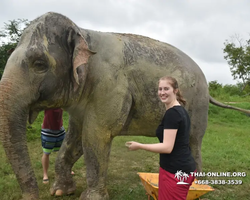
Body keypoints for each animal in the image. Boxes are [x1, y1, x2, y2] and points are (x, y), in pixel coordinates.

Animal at [0, 11, 250, 199]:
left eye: (39, 64)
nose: (32, 196)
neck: (84, 33)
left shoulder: (109, 84)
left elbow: (95, 136)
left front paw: (91, 198)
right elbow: (75, 138)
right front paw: (61, 191)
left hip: (197, 106)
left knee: (192, 140)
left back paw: (195, 186)